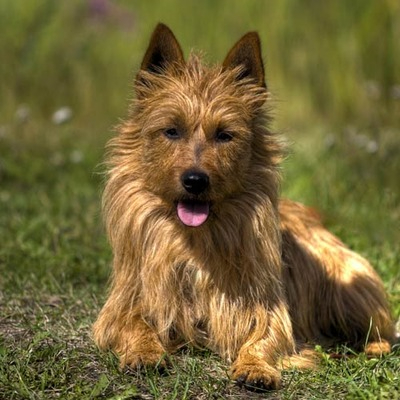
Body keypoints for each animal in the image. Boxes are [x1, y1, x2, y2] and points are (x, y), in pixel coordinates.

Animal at [93, 22, 394, 390]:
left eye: (225, 135)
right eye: (171, 131)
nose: (195, 180)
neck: (194, 244)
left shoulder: (265, 307)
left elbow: (264, 336)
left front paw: (255, 366)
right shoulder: (125, 302)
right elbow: (134, 323)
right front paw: (144, 352)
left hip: (351, 284)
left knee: (382, 329)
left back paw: (373, 347)